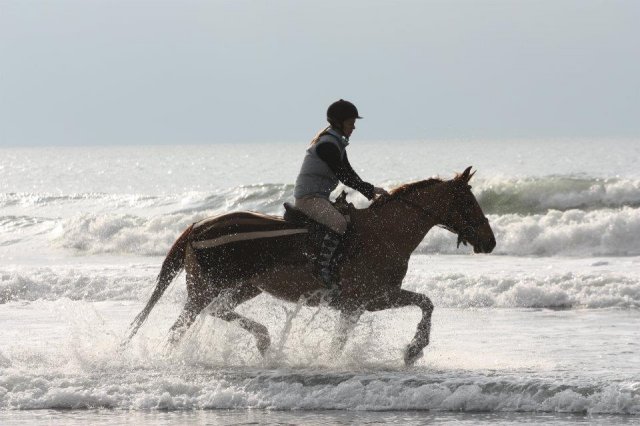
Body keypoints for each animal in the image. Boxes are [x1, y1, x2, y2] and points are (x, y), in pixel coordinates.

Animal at [124, 166, 496, 366]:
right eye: (468, 202)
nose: (490, 241)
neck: (384, 232)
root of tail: (198, 226)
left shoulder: (373, 299)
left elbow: (425, 302)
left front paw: (413, 350)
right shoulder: (361, 301)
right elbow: (343, 341)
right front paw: (413, 348)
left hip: (244, 287)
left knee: (215, 312)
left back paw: (263, 340)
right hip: (206, 288)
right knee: (182, 326)